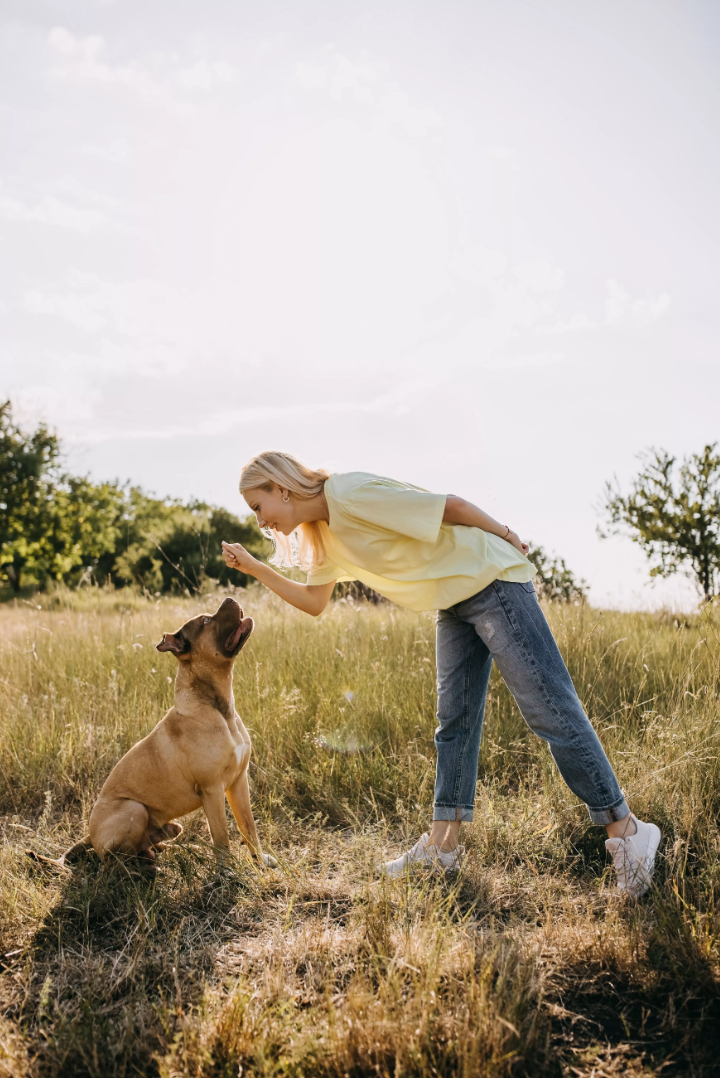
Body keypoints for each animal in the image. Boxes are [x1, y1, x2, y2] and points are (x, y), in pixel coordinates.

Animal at [30, 595, 272, 871]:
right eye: (205, 621)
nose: (230, 597)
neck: (220, 709)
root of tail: (89, 835)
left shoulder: (238, 782)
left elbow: (248, 826)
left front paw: (259, 860)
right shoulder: (212, 789)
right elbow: (222, 836)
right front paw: (227, 872)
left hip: (167, 826)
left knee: (149, 847)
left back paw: (178, 851)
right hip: (134, 810)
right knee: (115, 861)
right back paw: (143, 870)